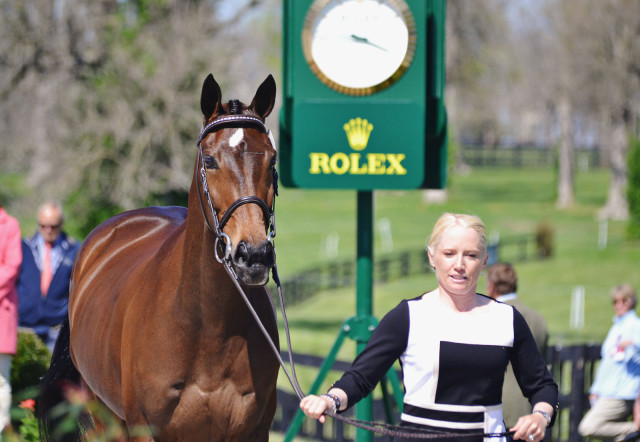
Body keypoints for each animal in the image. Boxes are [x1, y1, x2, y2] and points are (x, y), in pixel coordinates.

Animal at [40, 74, 280, 440]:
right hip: (102, 414)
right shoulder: (145, 428)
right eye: (209, 161)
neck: (208, 328)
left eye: (272, 160)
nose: (253, 254)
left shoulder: (252, 431)